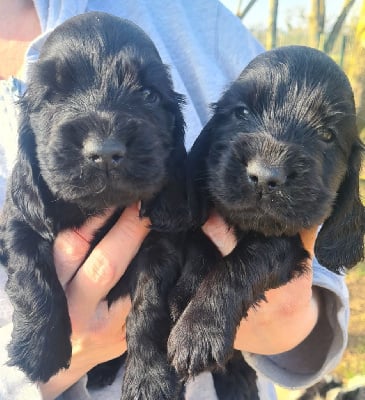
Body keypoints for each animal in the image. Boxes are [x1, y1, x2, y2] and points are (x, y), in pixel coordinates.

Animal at [0, 12, 188, 400]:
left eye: (148, 94)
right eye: (52, 96)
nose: (105, 151)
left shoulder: (161, 240)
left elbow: (150, 308)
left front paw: (151, 379)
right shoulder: (20, 220)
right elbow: (30, 273)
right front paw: (38, 351)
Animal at [168, 45, 364, 398]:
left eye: (326, 134)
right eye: (242, 112)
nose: (265, 177)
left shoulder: (287, 244)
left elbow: (241, 263)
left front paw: (198, 331)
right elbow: (201, 249)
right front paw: (183, 297)